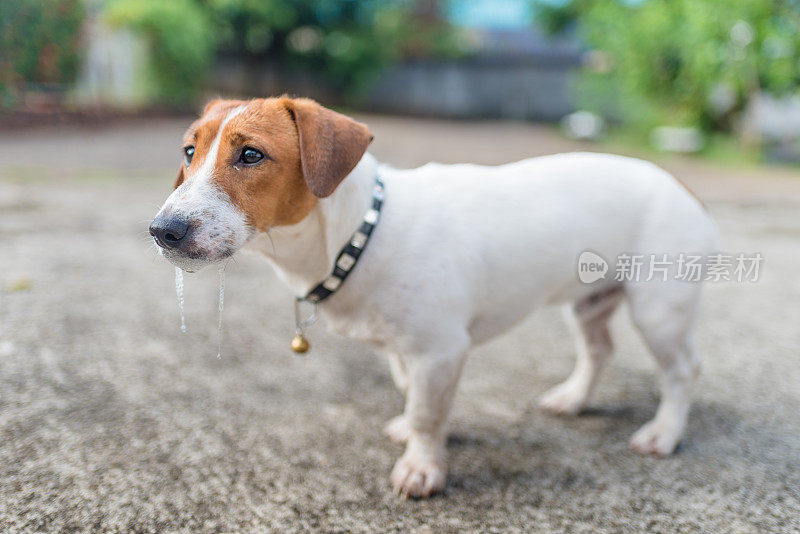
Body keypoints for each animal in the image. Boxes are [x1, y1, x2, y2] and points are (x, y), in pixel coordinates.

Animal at [150, 95, 720, 498]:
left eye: (251, 155)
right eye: (188, 151)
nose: (162, 231)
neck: (360, 233)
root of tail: (682, 186)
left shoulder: (439, 349)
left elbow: (429, 412)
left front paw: (422, 467)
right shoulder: (408, 351)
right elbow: (414, 395)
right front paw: (411, 430)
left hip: (659, 311)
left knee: (683, 371)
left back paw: (664, 432)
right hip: (590, 301)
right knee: (599, 349)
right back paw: (573, 398)